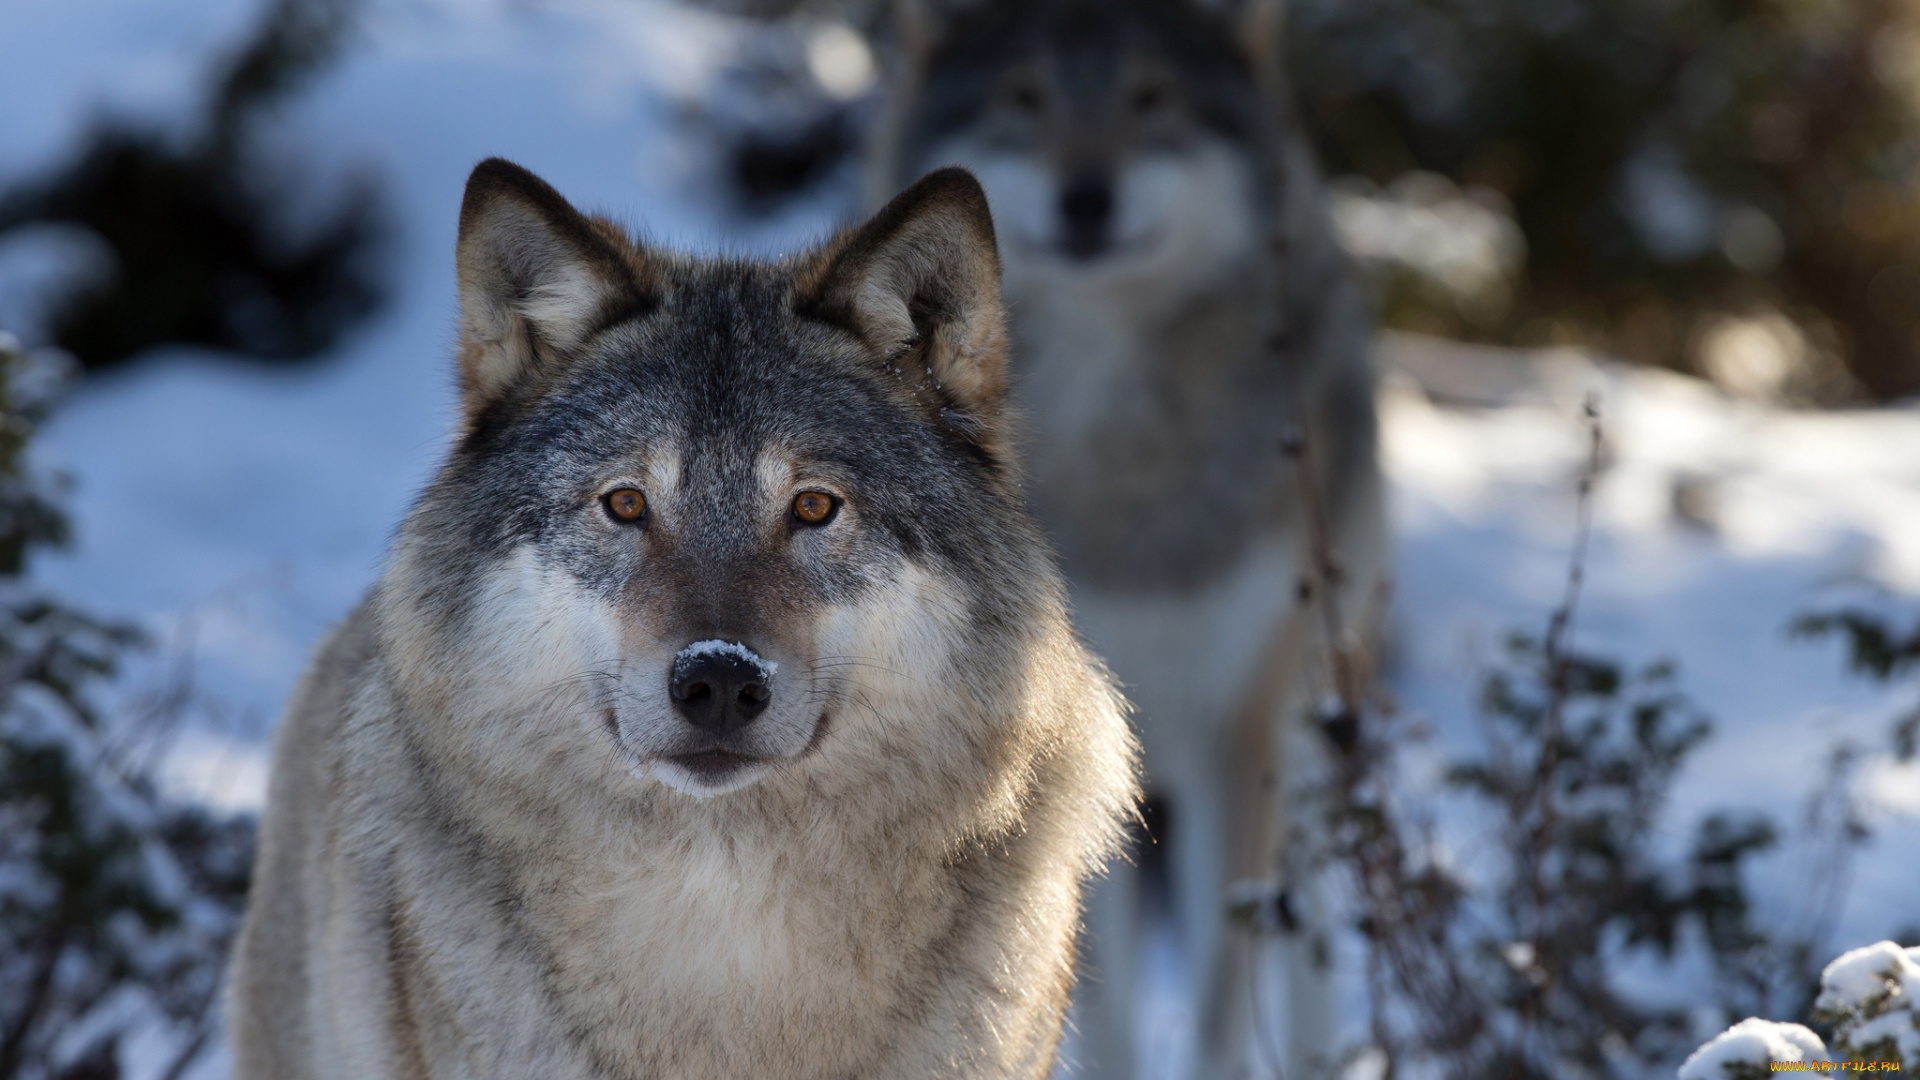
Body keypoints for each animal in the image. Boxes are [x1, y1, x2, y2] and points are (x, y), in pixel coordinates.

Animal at [871, 4, 1382, 1068]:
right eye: (1025, 97)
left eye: (1151, 99)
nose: (1087, 197)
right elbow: (1089, 995)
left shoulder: (1240, 731)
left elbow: (1225, 995)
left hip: (1310, 724)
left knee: (1308, 930)